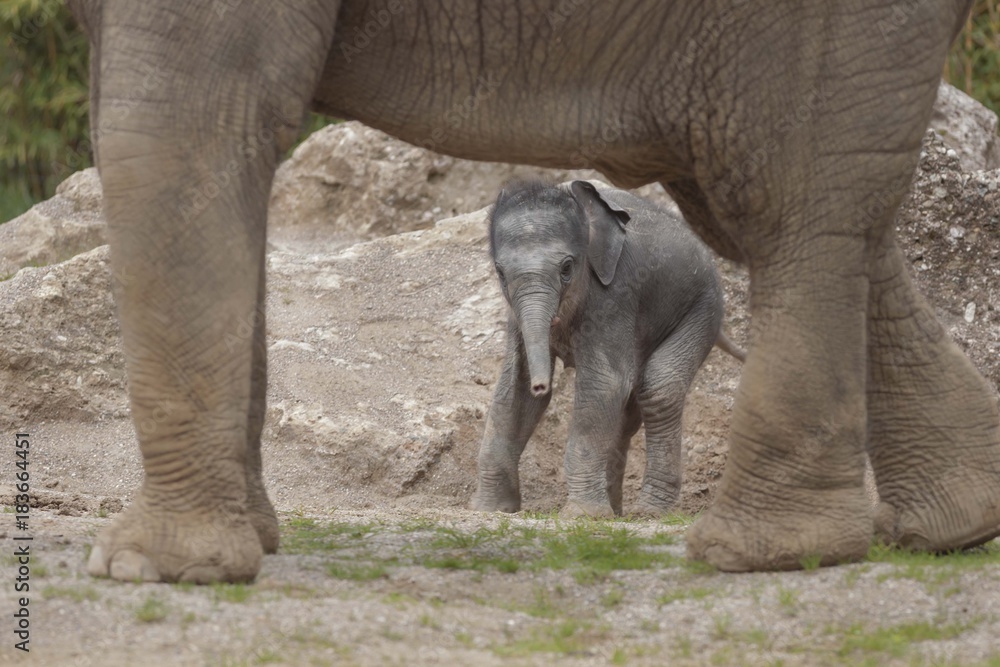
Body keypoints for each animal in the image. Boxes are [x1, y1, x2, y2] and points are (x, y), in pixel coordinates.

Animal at [472, 180, 741, 518]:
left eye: (567, 268)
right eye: (500, 272)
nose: (541, 384)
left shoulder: (616, 293)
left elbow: (604, 384)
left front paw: (581, 515)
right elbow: (514, 391)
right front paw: (490, 509)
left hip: (702, 310)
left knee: (658, 387)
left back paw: (649, 512)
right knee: (630, 408)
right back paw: (615, 510)